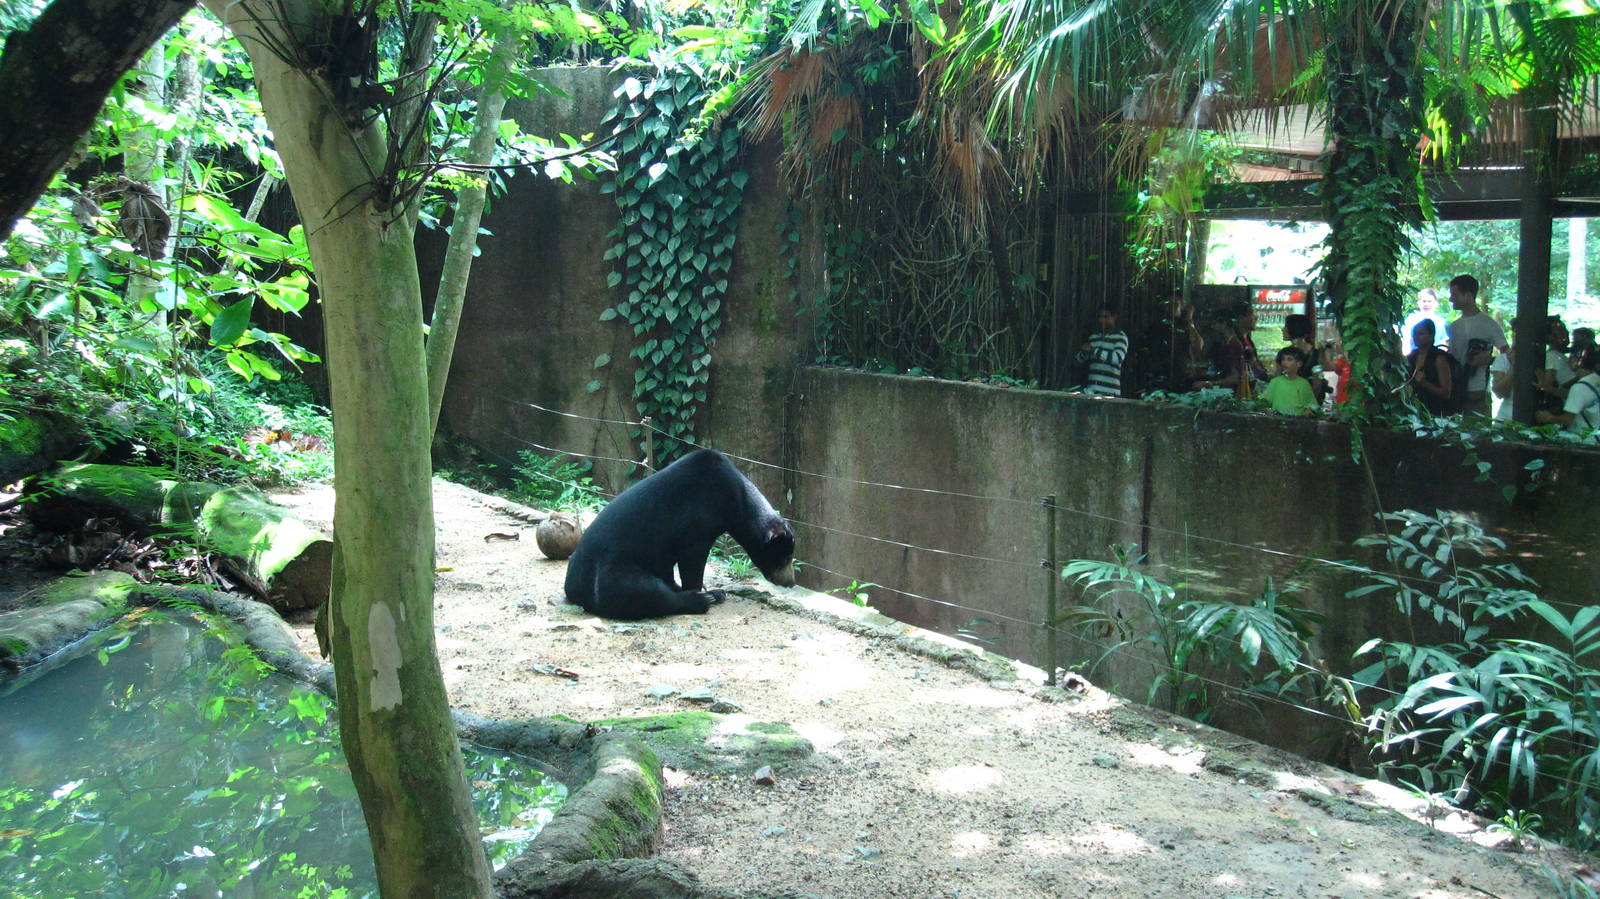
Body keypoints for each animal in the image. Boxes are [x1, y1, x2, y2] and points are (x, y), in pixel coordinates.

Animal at [562, 449, 796, 619]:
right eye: (785, 557)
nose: (790, 582)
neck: (735, 499)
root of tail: (573, 586)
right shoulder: (698, 522)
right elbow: (692, 559)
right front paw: (700, 590)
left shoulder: (664, 545)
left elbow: (667, 563)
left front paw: (696, 588)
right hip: (612, 572)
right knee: (643, 591)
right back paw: (702, 600)